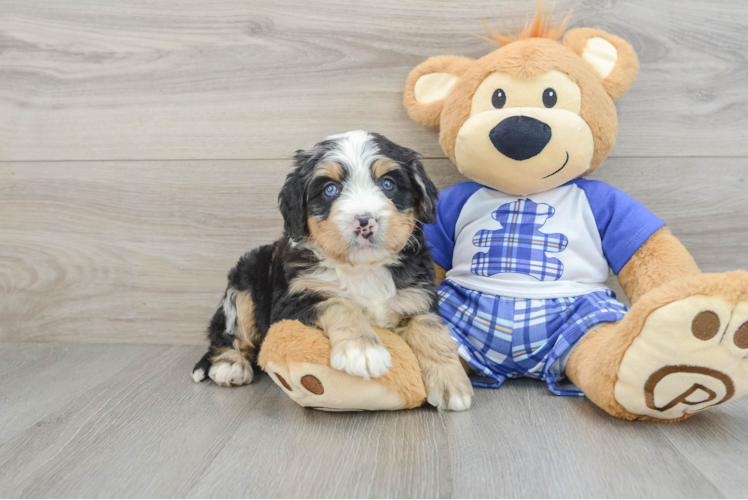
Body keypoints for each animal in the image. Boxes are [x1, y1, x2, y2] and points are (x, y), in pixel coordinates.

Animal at [193, 131, 474, 412]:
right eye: (330, 189)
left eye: (388, 184)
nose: (364, 222)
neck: (363, 268)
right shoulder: (290, 304)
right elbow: (340, 303)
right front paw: (363, 351)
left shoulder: (419, 295)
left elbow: (431, 329)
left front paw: (451, 384)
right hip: (246, 281)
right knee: (227, 332)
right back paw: (230, 365)